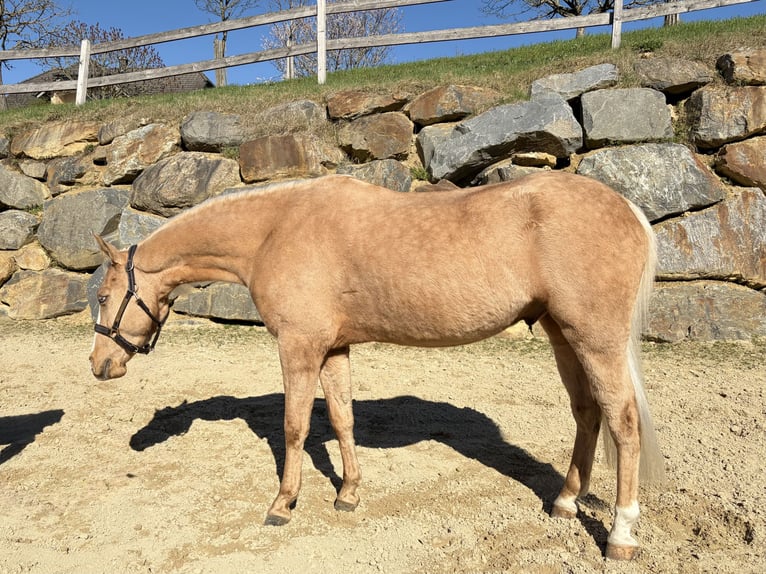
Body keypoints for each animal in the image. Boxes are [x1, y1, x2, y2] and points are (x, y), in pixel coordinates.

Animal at [89, 171, 664, 560]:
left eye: (102, 295)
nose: (99, 365)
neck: (276, 229)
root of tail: (627, 208)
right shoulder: (333, 349)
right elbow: (343, 419)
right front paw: (348, 494)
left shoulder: (298, 348)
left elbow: (295, 427)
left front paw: (283, 504)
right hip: (562, 335)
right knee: (587, 414)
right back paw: (565, 502)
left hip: (595, 340)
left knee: (622, 422)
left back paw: (620, 535)